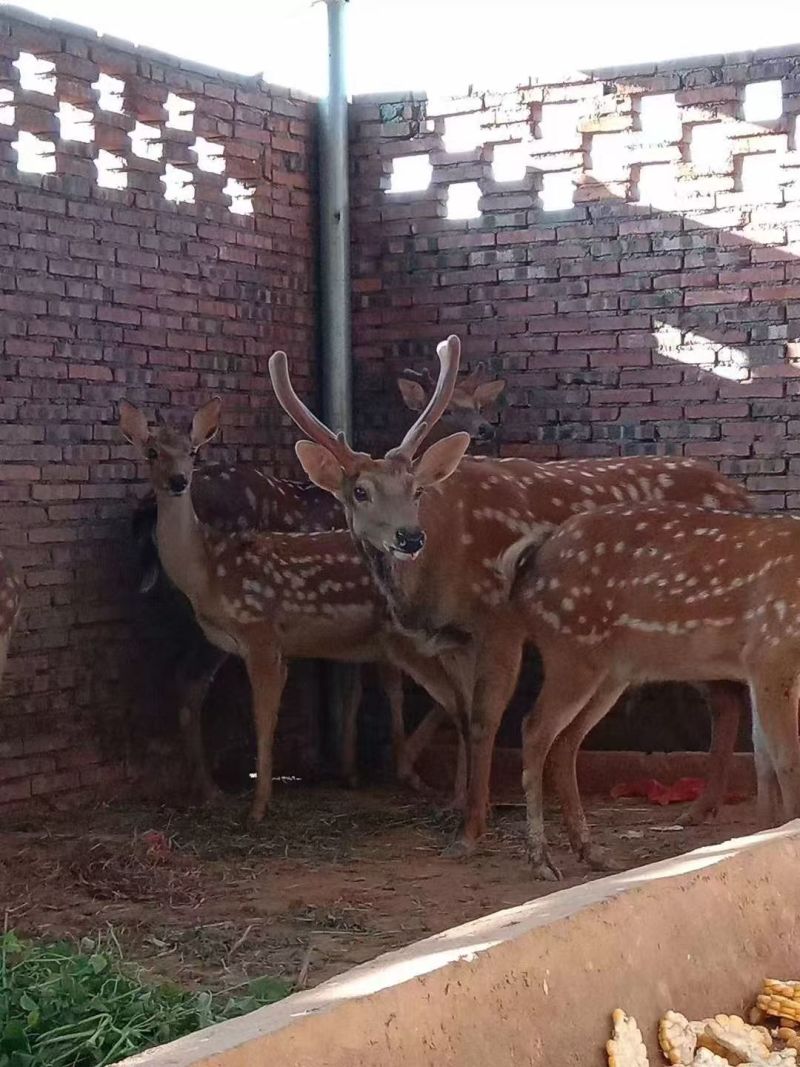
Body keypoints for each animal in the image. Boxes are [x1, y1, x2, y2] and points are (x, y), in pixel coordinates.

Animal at [130, 363, 508, 803]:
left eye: (478, 403)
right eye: (451, 409)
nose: (485, 428)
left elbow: (361, 686)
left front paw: (353, 768)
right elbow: (387, 684)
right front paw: (400, 768)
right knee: (189, 681)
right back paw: (209, 788)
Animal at [268, 333, 751, 856]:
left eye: (416, 489)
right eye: (359, 491)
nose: (408, 537)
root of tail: (744, 496)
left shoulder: (497, 619)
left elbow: (485, 719)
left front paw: (471, 830)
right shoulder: (451, 638)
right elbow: (461, 716)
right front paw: (457, 806)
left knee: (731, 696)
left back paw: (703, 807)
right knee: (727, 699)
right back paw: (702, 807)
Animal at [499, 501, 800, 878]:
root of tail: (538, 547)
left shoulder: (758, 667)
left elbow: (763, 756)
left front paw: (763, 835)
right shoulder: (771, 651)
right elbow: (786, 758)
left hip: (611, 671)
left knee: (565, 742)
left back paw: (592, 852)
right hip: (571, 651)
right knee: (535, 730)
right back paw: (541, 861)